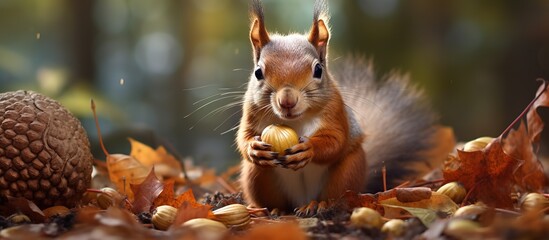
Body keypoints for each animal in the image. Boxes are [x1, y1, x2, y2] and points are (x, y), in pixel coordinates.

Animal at [235, 0, 450, 214]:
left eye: (318, 70)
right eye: (258, 72)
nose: (287, 101)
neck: (296, 120)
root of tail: (301, 200)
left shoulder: (335, 110)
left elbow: (336, 140)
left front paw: (309, 148)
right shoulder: (251, 112)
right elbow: (244, 137)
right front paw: (254, 148)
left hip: (348, 171)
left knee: (335, 193)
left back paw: (320, 204)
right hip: (256, 175)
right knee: (271, 193)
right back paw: (274, 210)